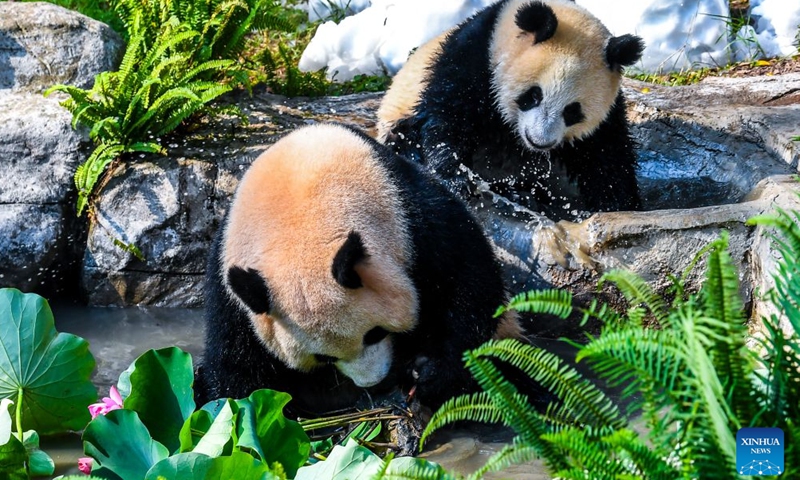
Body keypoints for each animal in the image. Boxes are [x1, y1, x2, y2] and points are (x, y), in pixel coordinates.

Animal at [194, 123, 522, 416]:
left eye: (375, 333)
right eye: (323, 358)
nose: (373, 382)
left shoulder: (410, 217)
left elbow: (467, 282)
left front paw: (431, 373)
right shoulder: (233, 284)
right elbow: (236, 367)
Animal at [377, 0, 645, 221]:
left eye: (572, 111)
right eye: (534, 96)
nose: (539, 141)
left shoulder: (608, 111)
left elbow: (605, 153)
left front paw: (618, 205)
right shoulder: (474, 60)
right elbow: (447, 116)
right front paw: (455, 179)